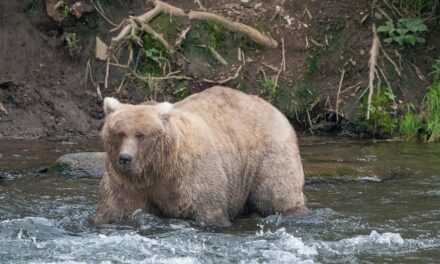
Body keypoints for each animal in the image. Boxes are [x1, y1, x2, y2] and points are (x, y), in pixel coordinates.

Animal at [93, 85, 306, 226]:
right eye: (119, 133)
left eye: (141, 134)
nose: (125, 158)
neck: (158, 168)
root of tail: (274, 108)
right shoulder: (127, 182)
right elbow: (115, 207)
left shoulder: (192, 174)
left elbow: (208, 208)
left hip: (268, 155)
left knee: (277, 194)